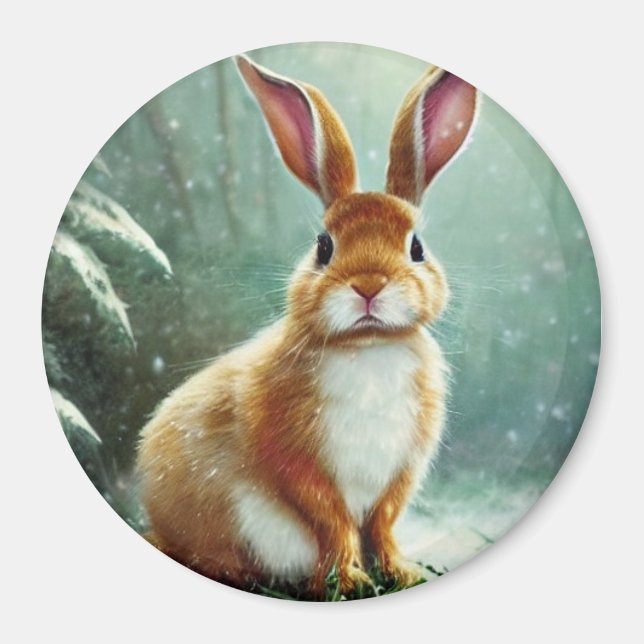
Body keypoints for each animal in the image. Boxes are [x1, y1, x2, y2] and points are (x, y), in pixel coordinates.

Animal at [137, 54, 478, 597]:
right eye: (324, 246)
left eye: (416, 247)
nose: (368, 285)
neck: (367, 345)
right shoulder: (296, 459)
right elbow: (331, 520)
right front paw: (349, 581)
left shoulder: (401, 471)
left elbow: (382, 523)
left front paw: (399, 573)